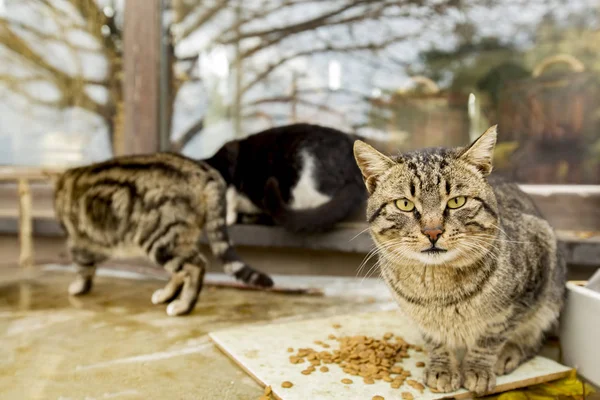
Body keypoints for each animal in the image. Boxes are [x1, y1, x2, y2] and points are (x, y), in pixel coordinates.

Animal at [52, 152, 274, 316]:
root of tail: (205, 172)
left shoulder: (79, 242)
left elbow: (83, 269)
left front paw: (78, 287)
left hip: (160, 240)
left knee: (196, 266)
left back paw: (183, 306)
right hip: (177, 239)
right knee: (180, 271)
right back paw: (167, 295)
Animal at [354, 126, 564, 396]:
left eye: (456, 201)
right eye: (405, 204)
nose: (433, 231)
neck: (438, 288)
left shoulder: (528, 285)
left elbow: (491, 337)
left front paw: (477, 369)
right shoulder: (423, 321)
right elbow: (435, 341)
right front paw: (442, 368)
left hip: (550, 293)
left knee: (533, 338)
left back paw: (508, 355)